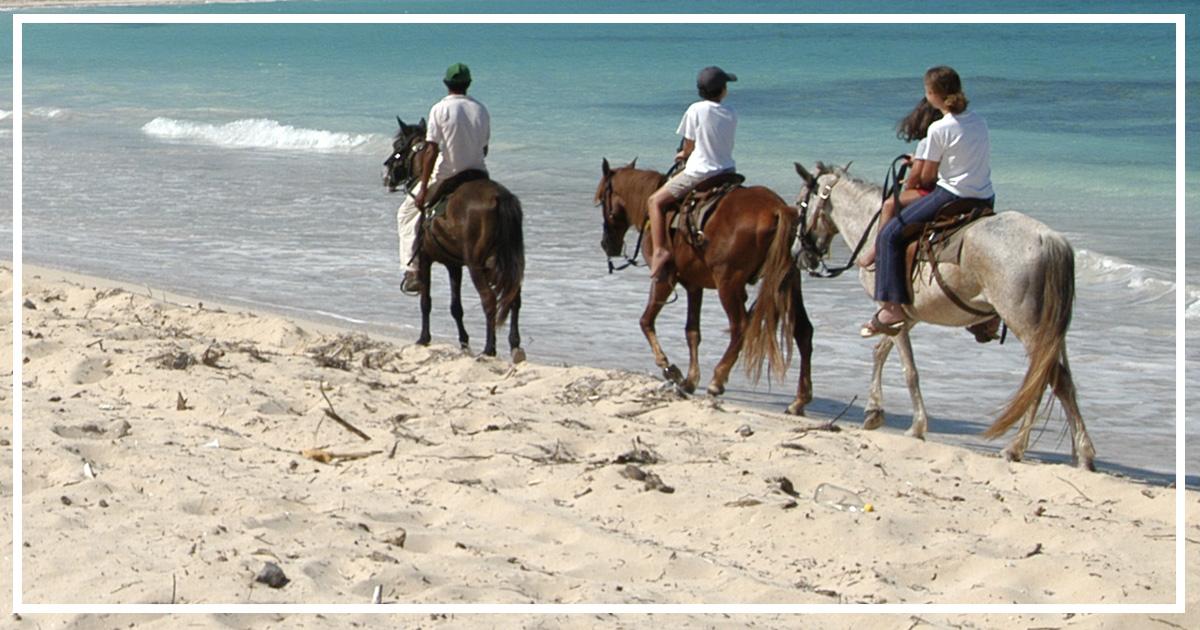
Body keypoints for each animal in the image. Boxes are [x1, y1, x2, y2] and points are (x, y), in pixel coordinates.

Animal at [384, 118, 525, 362]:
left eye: (398, 144)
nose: (387, 173)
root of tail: (500, 198)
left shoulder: (425, 258)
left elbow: (426, 301)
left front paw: (424, 338)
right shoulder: (453, 265)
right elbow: (455, 307)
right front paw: (464, 342)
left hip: (476, 264)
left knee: (489, 299)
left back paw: (489, 348)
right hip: (503, 262)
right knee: (513, 297)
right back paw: (514, 346)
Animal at [592, 157, 811, 412]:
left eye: (601, 201)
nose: (607, 244)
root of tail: (778, 209)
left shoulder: (664, 278)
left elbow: (646, 321)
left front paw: (669, 368)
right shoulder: (694, 285)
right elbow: (692, 331)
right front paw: (689, 379)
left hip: (728, 283)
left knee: (740, 326)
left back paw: (718, 379)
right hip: (789, 282)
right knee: (803, 331)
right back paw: (799, 400)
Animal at [796, 159, 1099, 468]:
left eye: (799, 205)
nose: (800, 255)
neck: (870, 228)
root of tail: (1050, 240)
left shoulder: (892, 312)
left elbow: (909, 370)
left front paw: (916, 426)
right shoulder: (906, 317)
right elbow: (880, 352)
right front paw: (873, 412)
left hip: (1028, 327)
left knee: (1047, 381)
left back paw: (1022, 449)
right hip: (1049, 332)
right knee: (1055, 382)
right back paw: (1076, 453)